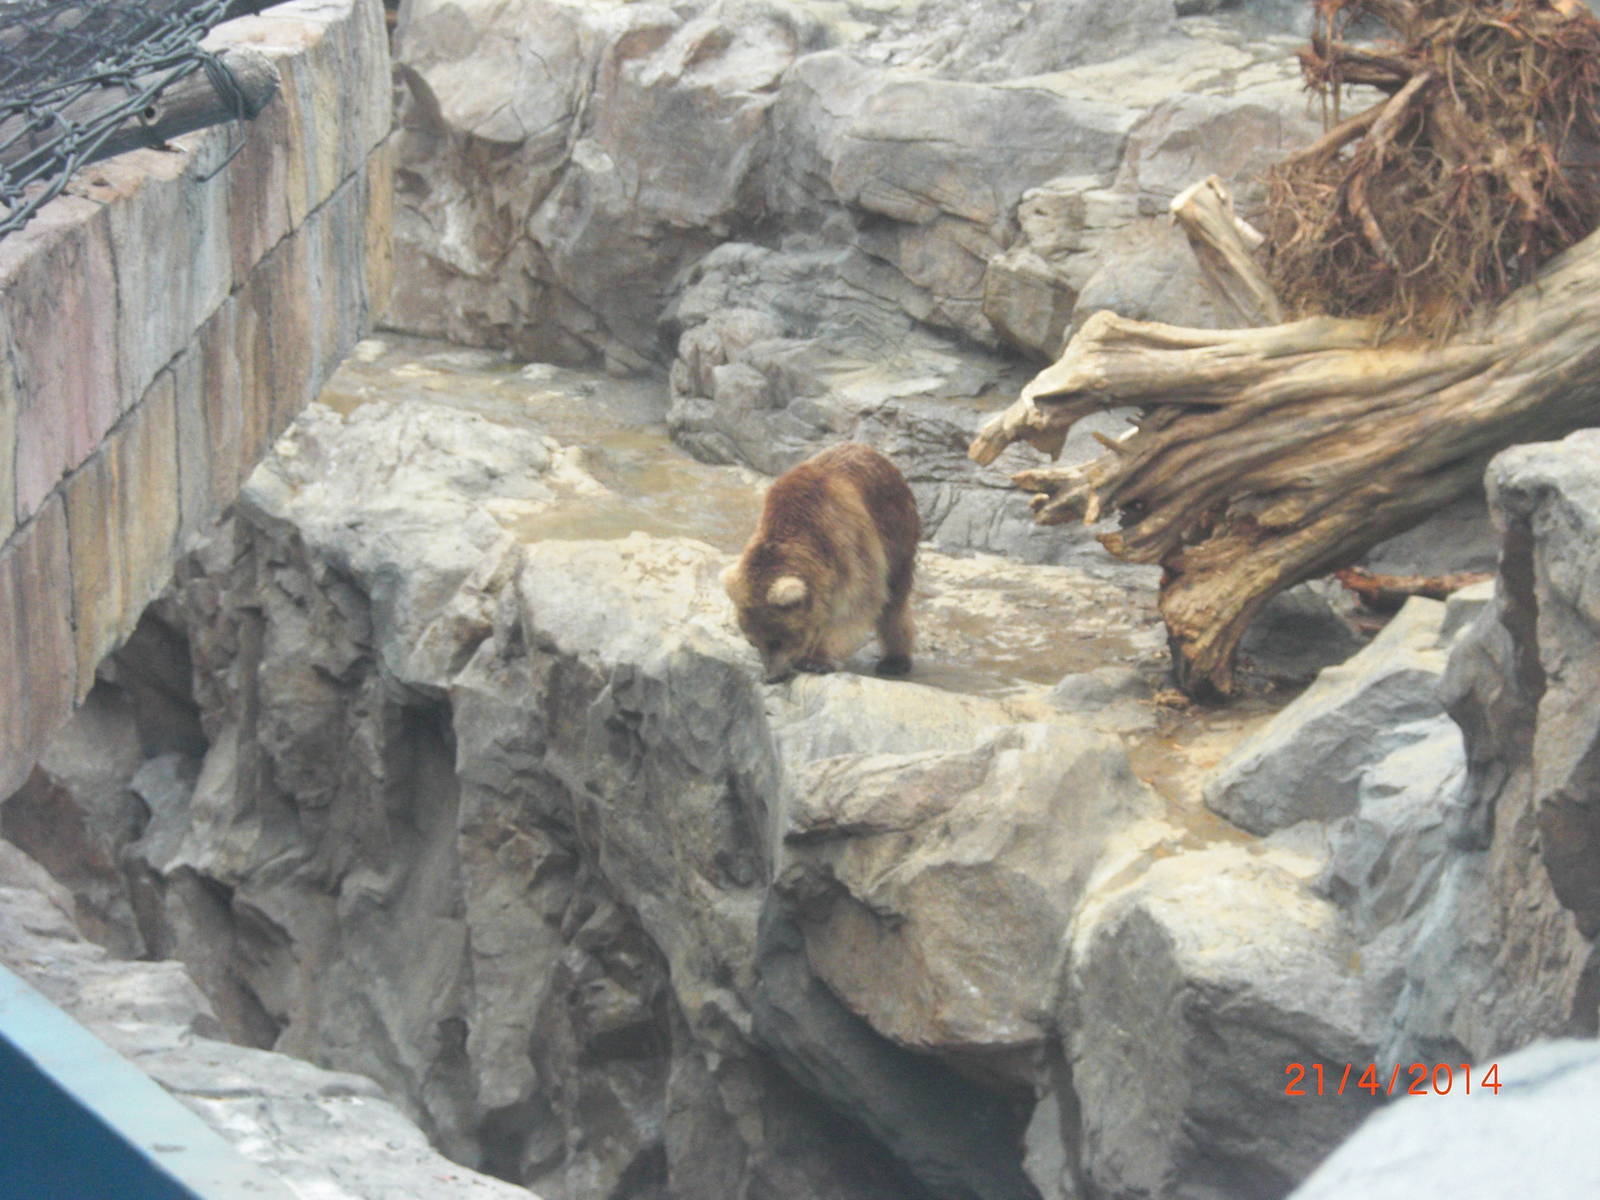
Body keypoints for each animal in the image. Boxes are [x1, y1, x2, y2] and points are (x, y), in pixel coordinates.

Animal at [722, 443, 920, 682]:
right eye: (753, 641)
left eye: (777, 640)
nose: (772, 676)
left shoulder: (847, 540)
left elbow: (859, 600)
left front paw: (816, 659)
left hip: (896, 531)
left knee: (894, 601)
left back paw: (894, 661)